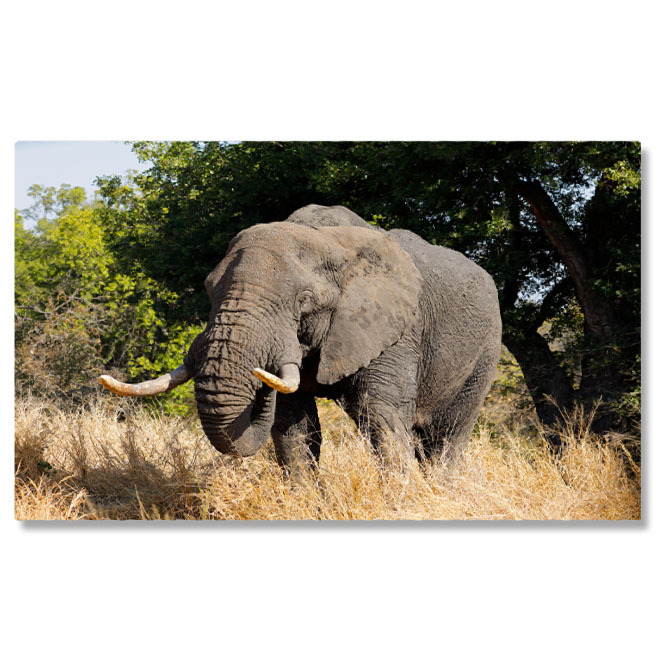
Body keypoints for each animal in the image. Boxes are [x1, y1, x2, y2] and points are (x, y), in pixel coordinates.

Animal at [100, 204, 502, 469]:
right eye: (209, 288)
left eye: (304, 300)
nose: (261, 373)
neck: (326, 241)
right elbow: (295, 426)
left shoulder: (396, 329)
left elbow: (381, 416)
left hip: (487, 350)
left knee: (445, 439)